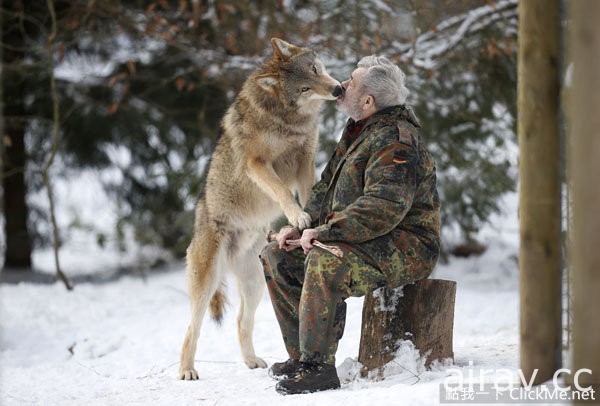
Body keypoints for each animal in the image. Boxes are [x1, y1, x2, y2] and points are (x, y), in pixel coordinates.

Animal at [177, 38, 342, 380]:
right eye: (305, 88)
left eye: (315, 70)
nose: (337, 90)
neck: (287, 119)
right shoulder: (257, 163)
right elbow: (282, 191)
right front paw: (298, 216)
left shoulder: (305, 159)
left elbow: (308, 191)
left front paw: (310, 221)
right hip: (206, 282)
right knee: (192, 328)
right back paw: (186, 371)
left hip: (255, 285)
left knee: (242, 321)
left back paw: (252, 361)